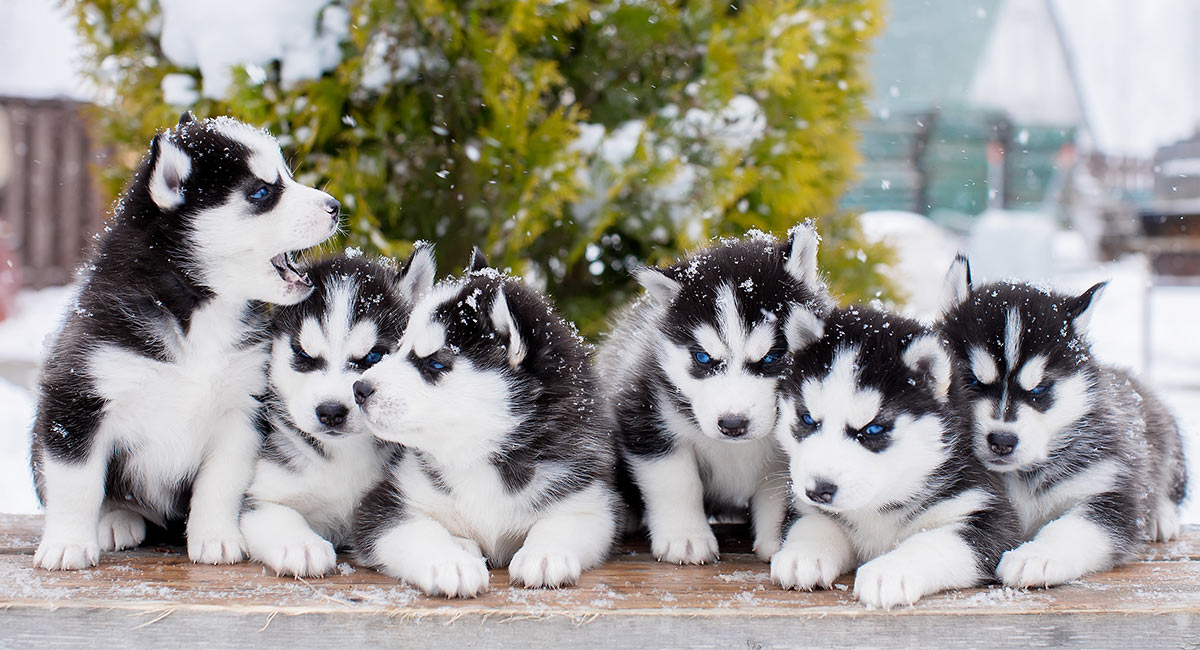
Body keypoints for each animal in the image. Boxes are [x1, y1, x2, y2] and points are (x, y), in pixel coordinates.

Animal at [30, 114, 340, 573]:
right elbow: (77, 482)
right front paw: (67, 544)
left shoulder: (241, 408)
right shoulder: (78, 396)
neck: (198, 313)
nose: (335, 206)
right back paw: (114, 519)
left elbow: (220, 483)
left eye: (285, 176)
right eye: (262, 192)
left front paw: (216, 538)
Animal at [240, 247, 436, 578]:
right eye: (303, 354)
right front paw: (300, 546)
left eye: (373, 356)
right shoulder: (259, 495)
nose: (331, 411)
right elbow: (275, 511)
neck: (343, 457)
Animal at [350, 250, 619, 602]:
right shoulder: (383, 503)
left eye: (435, 362)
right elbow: (416, 530)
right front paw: (449, 562)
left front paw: (545, 554)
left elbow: (562, 524)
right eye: (399, 349)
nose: (359, 389)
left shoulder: (589, 498)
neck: (477, 458)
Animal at [772, 307, 1017, 611]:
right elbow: (813, 521)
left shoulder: (984, 509)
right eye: (807, 419)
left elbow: (935, 541)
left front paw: (890, 572)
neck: (879, 505)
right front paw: (804, 554)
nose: (818, 490)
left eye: (873, 429)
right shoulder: (803, 505)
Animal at [940, 256, 1185, 590]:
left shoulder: (1108, 486)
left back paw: (1162, 516)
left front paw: (1036, 556)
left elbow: (1074, 527)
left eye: (1040, 389)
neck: (1018, 476)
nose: (1002, 441)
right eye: (972, 381)